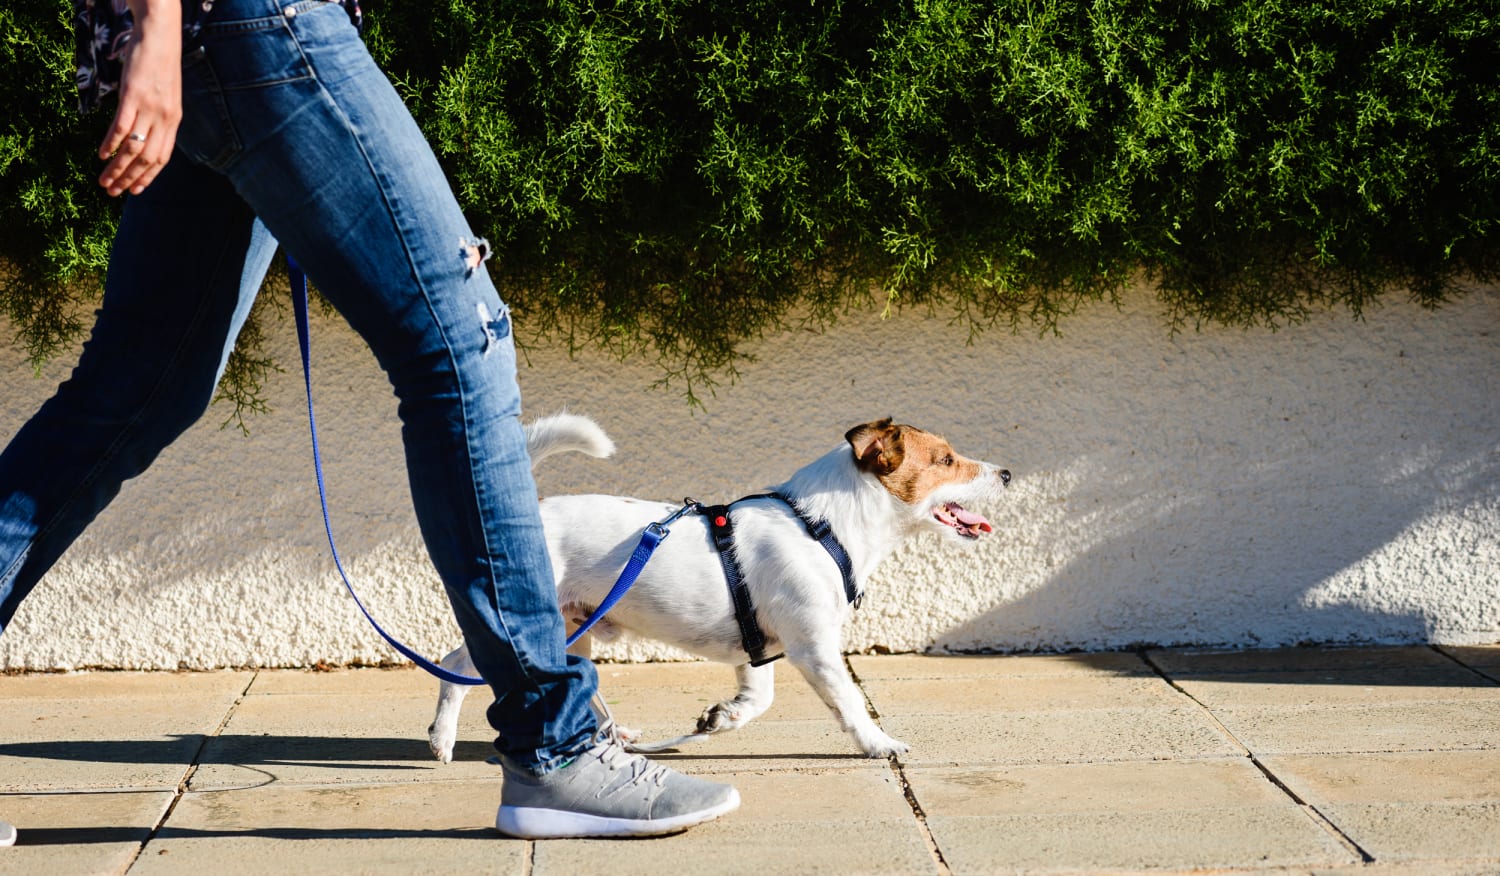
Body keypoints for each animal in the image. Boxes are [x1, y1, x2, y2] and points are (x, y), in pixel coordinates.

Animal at [426, 411, 1008, 759]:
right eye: (946, 460)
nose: (1005, 474)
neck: (823, 526)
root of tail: (531, 514)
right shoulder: (814, 647)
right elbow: (849, 703)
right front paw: (878, 742)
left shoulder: (759, 648)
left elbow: (757, 700)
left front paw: (720, 718)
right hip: (527, 624)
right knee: (455, 666)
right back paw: (443, 738)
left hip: (575, 628)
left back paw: (615, 736)